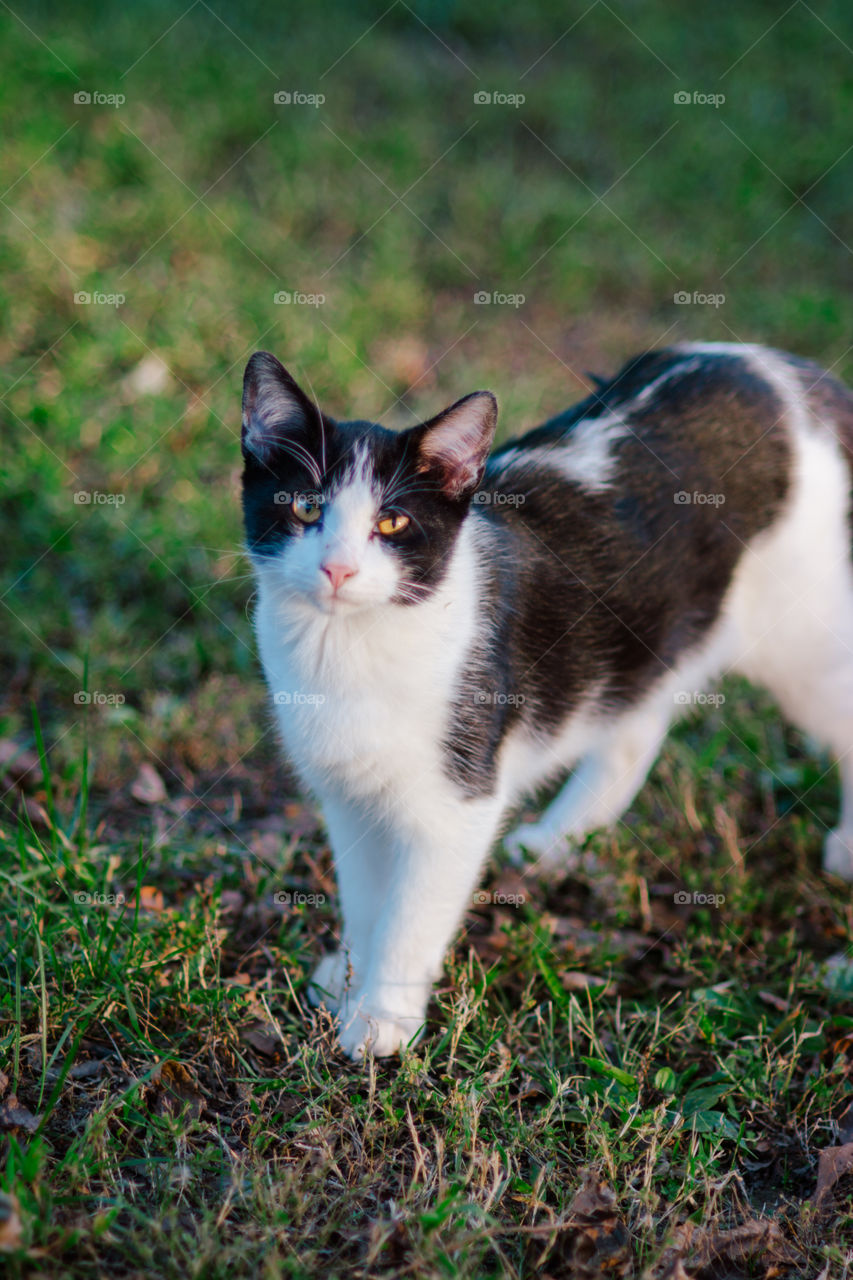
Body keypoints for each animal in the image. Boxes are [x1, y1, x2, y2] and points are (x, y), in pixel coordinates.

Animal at [239, 343, 850, 1059]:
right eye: (306, 509)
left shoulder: (458, 801)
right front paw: (350, 973)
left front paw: (382, 1015)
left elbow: (413, 911)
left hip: (800, 637)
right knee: (634, 721)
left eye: (392, 522)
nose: (337, 569)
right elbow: (366, 894)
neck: (348, 646)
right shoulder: (348, 794)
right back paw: (561, 838)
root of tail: (786, 371)